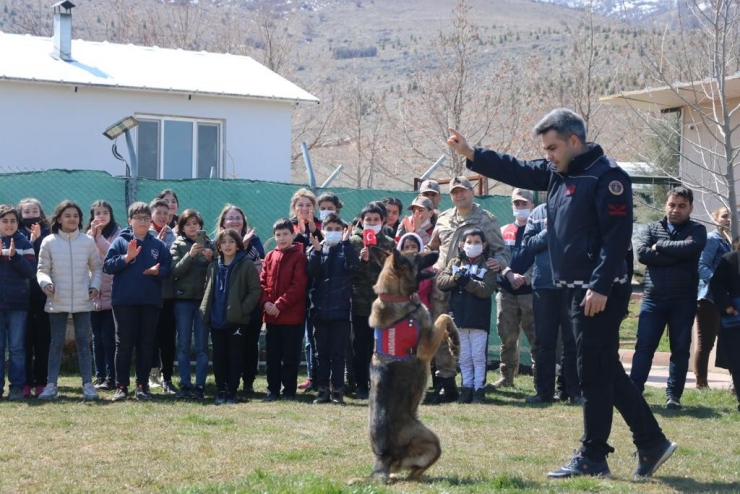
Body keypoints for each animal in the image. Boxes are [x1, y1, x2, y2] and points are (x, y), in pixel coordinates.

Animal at [368, 247, 460, 482]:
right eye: (416, 255)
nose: (436, 250)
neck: (395, 296)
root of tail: (382, 459)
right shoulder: (425, 349)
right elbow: (444, 316)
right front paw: (456, 342)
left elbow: (444, 321)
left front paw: (453, 340)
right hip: (433, 441)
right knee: (413, 473)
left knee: (404, 472)